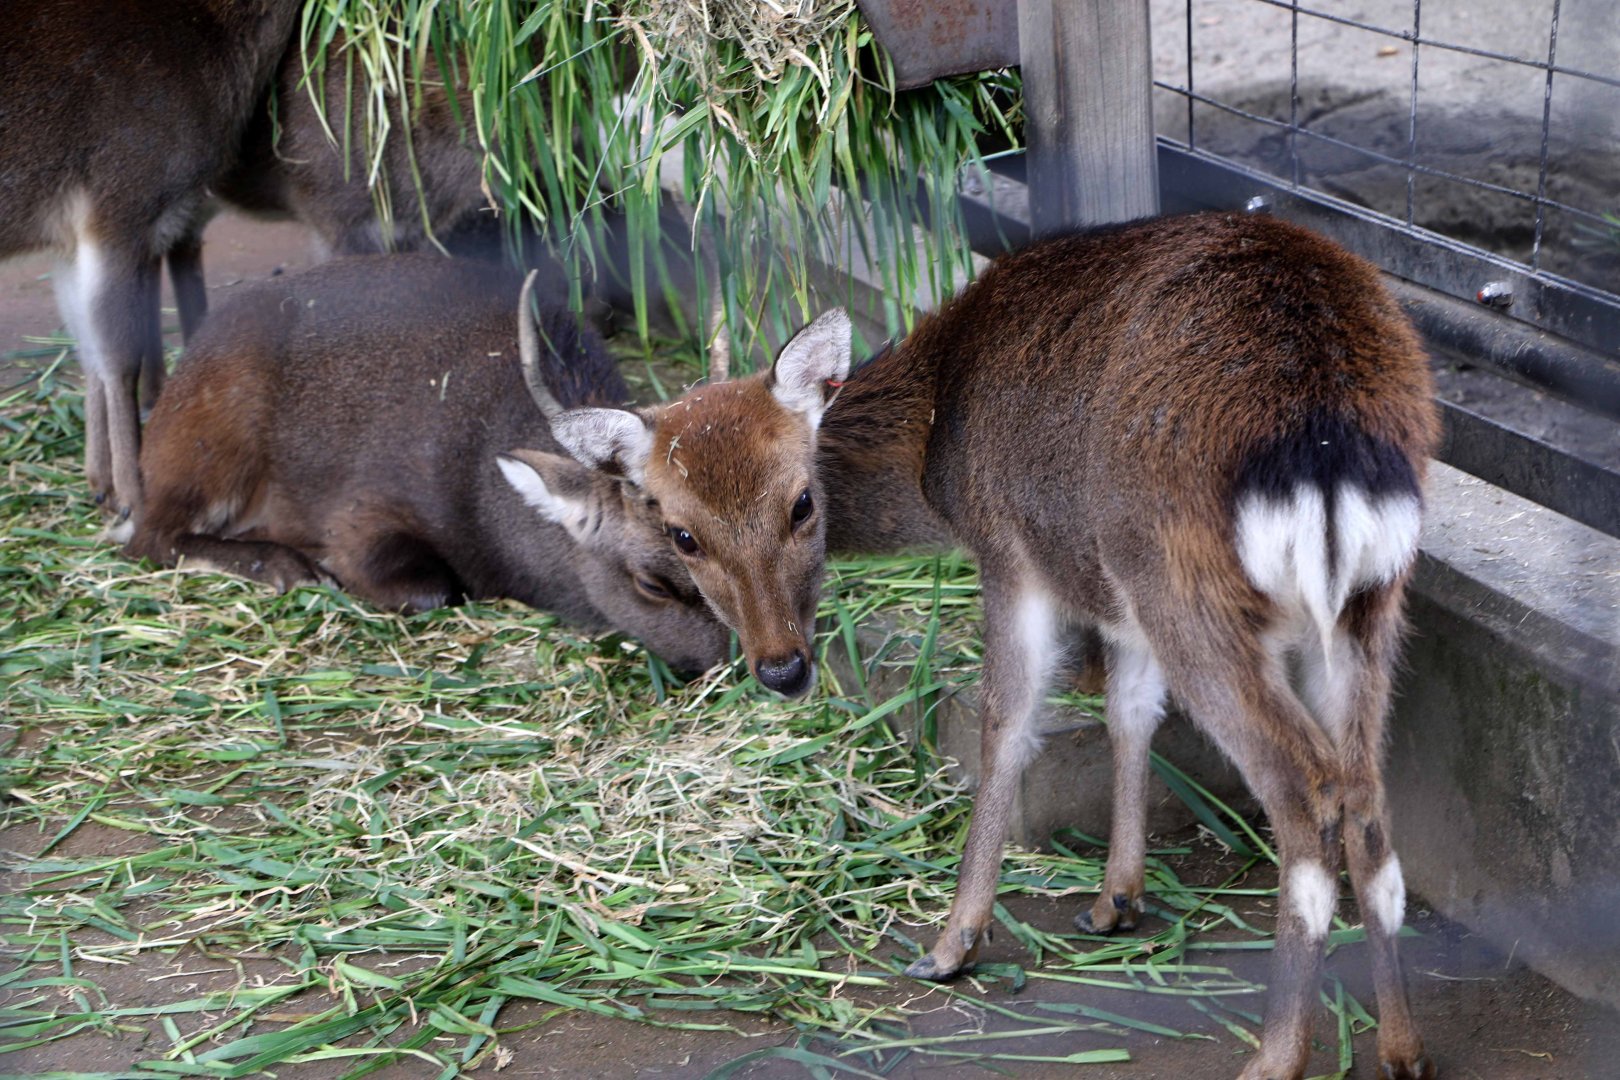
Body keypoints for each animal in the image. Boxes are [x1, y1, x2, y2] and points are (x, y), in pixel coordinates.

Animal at [124, 253, 729, 676]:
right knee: (150, 536)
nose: (737, 664)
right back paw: (284, 565)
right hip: (209, 448)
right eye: (652, 583)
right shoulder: (362, 513)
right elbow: (429, 588)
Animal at [541, 211, 1441, 1079]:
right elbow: (1129, 710)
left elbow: (1006, 725)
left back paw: (1275, 1056)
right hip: (1362, 602)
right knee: (1365, 791)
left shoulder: (1012, 552)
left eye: (802, 503)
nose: (783, 666)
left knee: (1308, 789)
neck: (934, 449)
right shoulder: (1108, 582)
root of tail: (1327, 441)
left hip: (1182, 578)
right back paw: (1402, 1049)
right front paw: (1116, 899)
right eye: (683, 534)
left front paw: (950, 945)